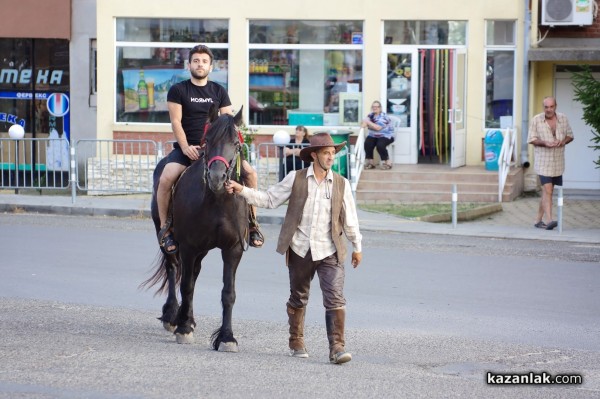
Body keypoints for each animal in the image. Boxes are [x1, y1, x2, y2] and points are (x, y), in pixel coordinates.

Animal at [143, 104, 248, 352]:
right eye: (207, 141)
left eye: (236, 143)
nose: (217, 177)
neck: (216, 201)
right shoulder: (189, 247)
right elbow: (186, 285)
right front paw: (183, 328)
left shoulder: (233, 249)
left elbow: (228, 293)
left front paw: (226, 337)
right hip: (169, 239)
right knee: (174, 269)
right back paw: (174, 316)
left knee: (193, 273)